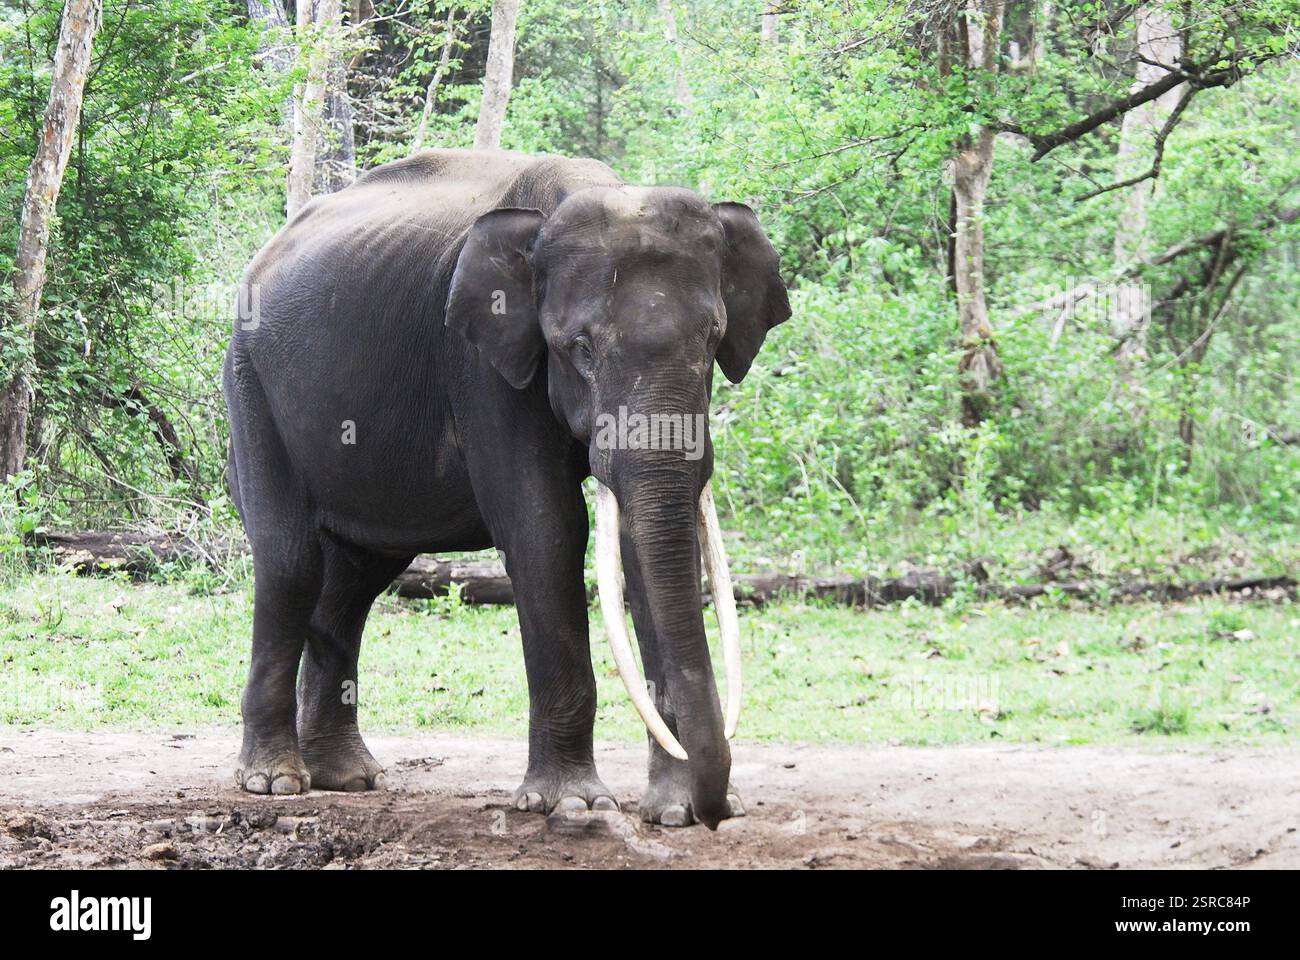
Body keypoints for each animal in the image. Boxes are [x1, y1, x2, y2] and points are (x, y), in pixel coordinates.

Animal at [222, 148, 790, 828]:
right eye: (581, 349)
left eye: (711, 340)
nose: (716, 812)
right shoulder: (480, 362)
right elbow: (545, 529)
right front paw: (571, 804)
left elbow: (633, 546)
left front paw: (673, 813)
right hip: (250, 387)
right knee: (291, 563)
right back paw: (275, 782)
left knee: (356, 578)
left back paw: (348, 779)